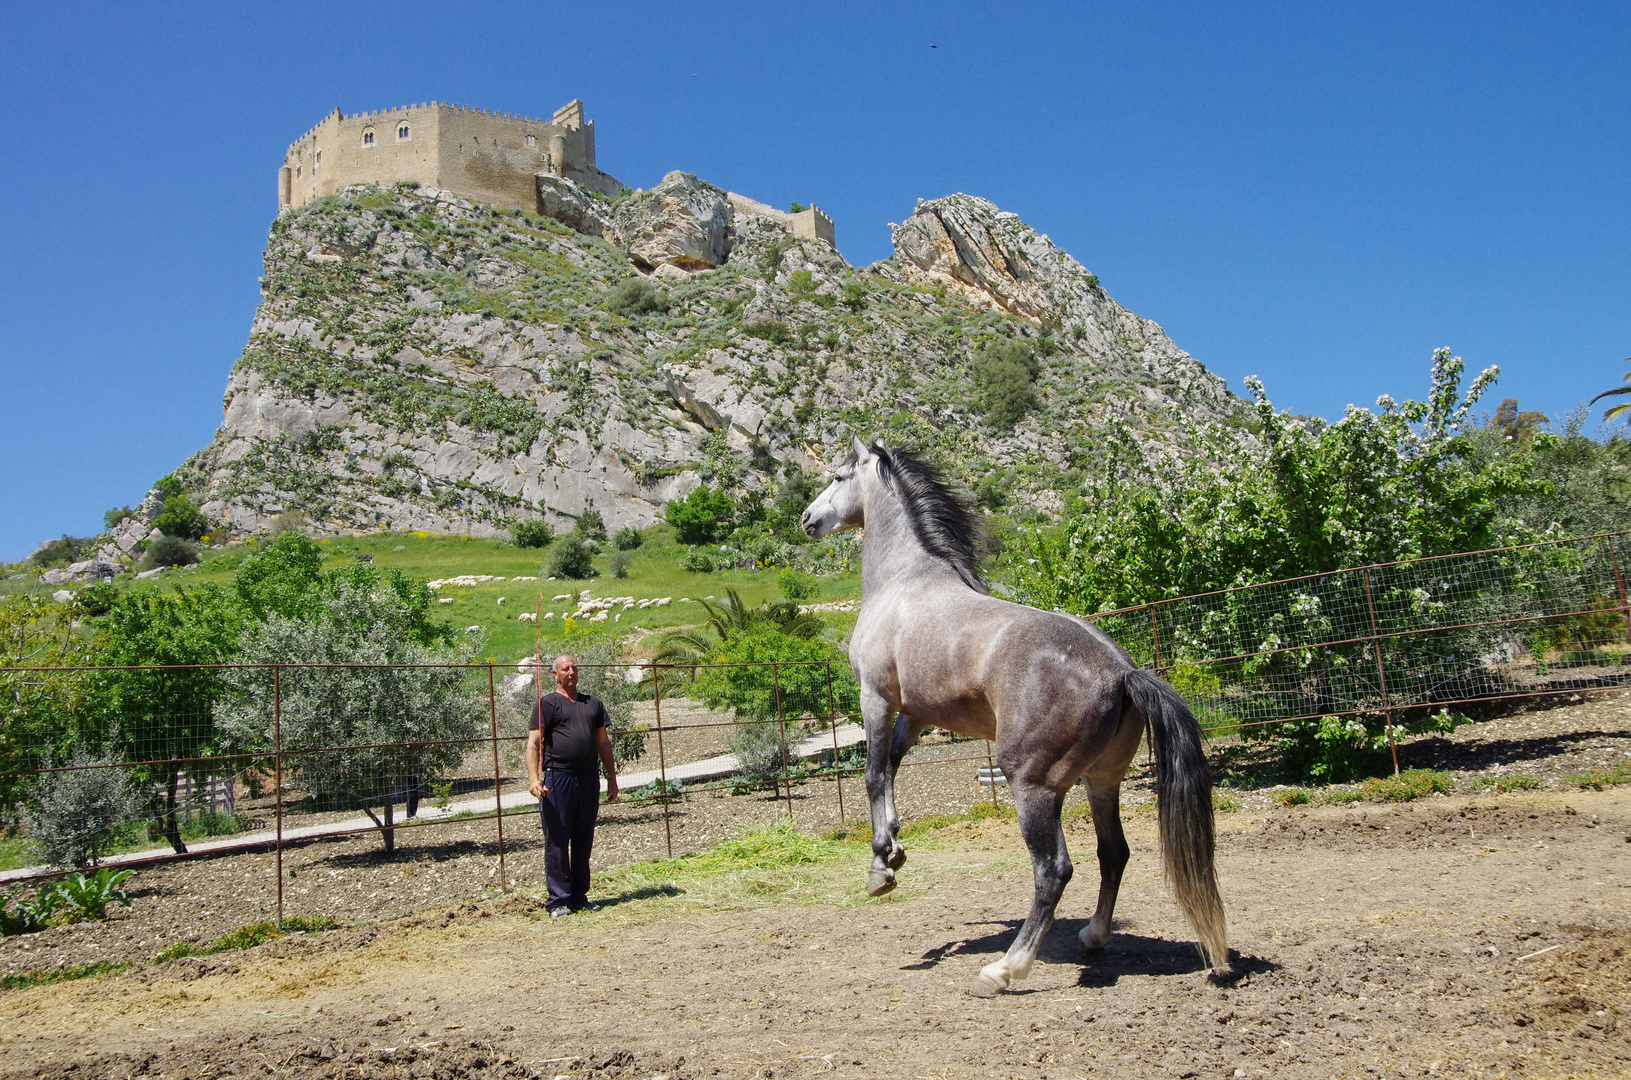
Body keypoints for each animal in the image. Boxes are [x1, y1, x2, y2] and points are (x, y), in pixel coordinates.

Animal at [802, 440, 1226, 998]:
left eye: (837, 475)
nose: (807, 519)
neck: (905, 582)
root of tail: (1123, 671)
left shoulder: (876, 697)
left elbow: (873, 774)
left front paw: (880, 870)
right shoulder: (917, 715)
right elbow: (892, 766)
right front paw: (894, 850)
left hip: (1033, 785)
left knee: (1054, 870)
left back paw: (1005, 969)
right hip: (1102, 780)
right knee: (1113, 854)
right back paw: (1092, 937)